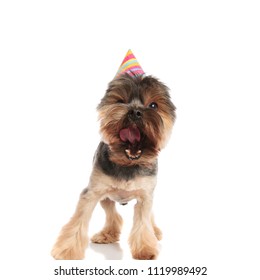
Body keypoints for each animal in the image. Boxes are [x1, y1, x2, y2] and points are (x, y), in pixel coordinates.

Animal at [50, 72, 177, 260]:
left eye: (153, 105)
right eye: (120, 101)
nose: (135, 112)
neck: (128, 163)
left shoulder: (145, 196)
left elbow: (143, 221)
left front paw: (146, 249)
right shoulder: (92, 193)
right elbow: (78, 221)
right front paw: (67, 250)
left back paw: (154, 231)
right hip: (106, 197)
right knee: (113, 215)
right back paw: (107, 234)